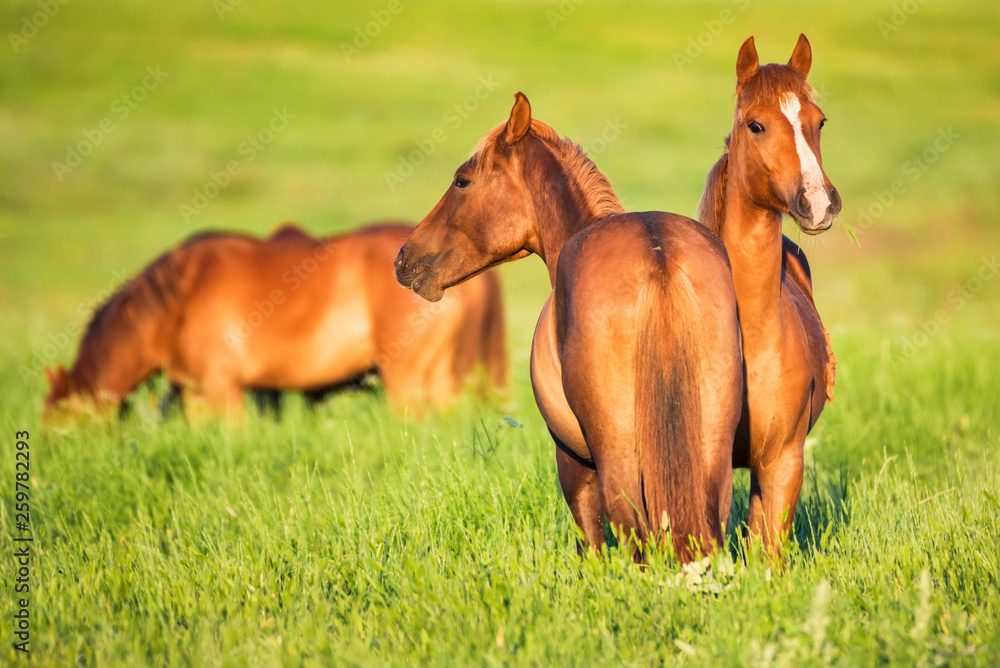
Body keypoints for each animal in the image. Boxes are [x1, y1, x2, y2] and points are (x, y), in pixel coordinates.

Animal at [44, 224, 508, 422]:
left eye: (60, 423)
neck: (177, 300)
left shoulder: (223, 387)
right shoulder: (195, 392)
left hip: (404, 376)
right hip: (439, 376)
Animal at [392, 92, 744, 564]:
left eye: (462, 181)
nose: (403, 259)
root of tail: (658, 256)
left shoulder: (573, 460)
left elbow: (590, 537)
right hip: (711, 451)